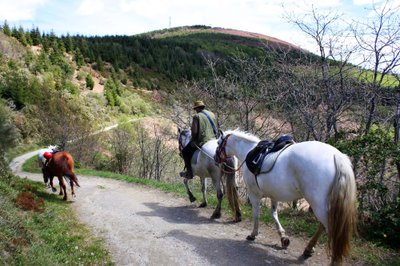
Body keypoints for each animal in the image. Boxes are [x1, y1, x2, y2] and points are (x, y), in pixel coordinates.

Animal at [214, 129, 358, 264]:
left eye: (218, 143)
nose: (215, 158)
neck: (248, 151)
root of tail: (336, 156)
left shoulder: (254, 195)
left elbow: (256, 215)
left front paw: (253, 234)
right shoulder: (274, 195)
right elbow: (274, 214)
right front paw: (283, 238)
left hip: (319, 205)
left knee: (331, 230)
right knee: (323, 226)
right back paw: (308, 249)